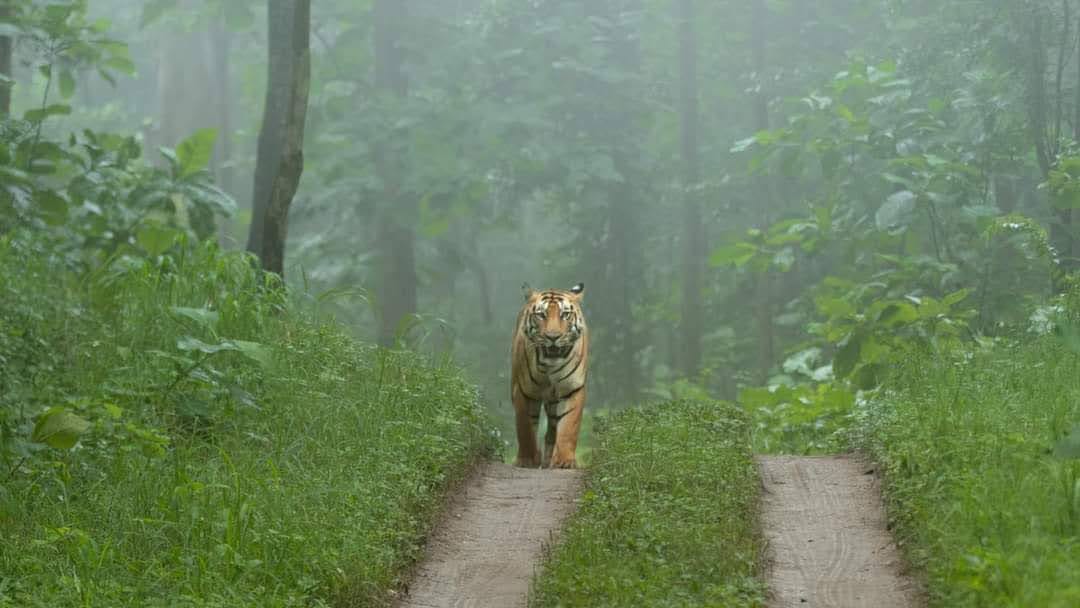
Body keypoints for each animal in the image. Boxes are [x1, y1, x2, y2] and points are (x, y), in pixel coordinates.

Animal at [509, 282, 587, 468]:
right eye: (541, 315)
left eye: (565, 314)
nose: (553, 337)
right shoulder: (524, 391)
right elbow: (525, 427)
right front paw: (527, 459)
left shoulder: (572, 388)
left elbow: (568, 426)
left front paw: (564, 461)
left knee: (552, 430)